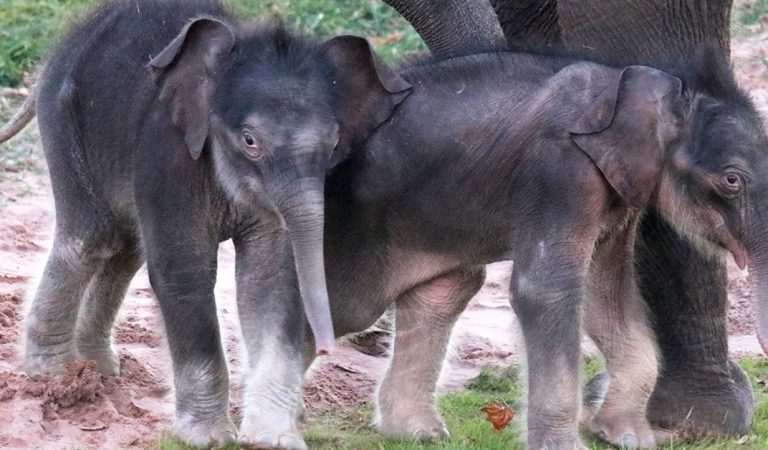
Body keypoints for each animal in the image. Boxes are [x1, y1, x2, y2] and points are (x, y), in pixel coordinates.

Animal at [7, 0, 409, 447]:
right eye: (250, 141)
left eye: (333, 144)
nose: (325, 348)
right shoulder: (169, 152)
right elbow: (184, 272)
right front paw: (209, 438)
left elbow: (269, 279)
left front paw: (272, 438)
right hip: (65, 120)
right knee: (92, 239)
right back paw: (54, 375)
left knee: (125, 249)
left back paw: (100, 370)